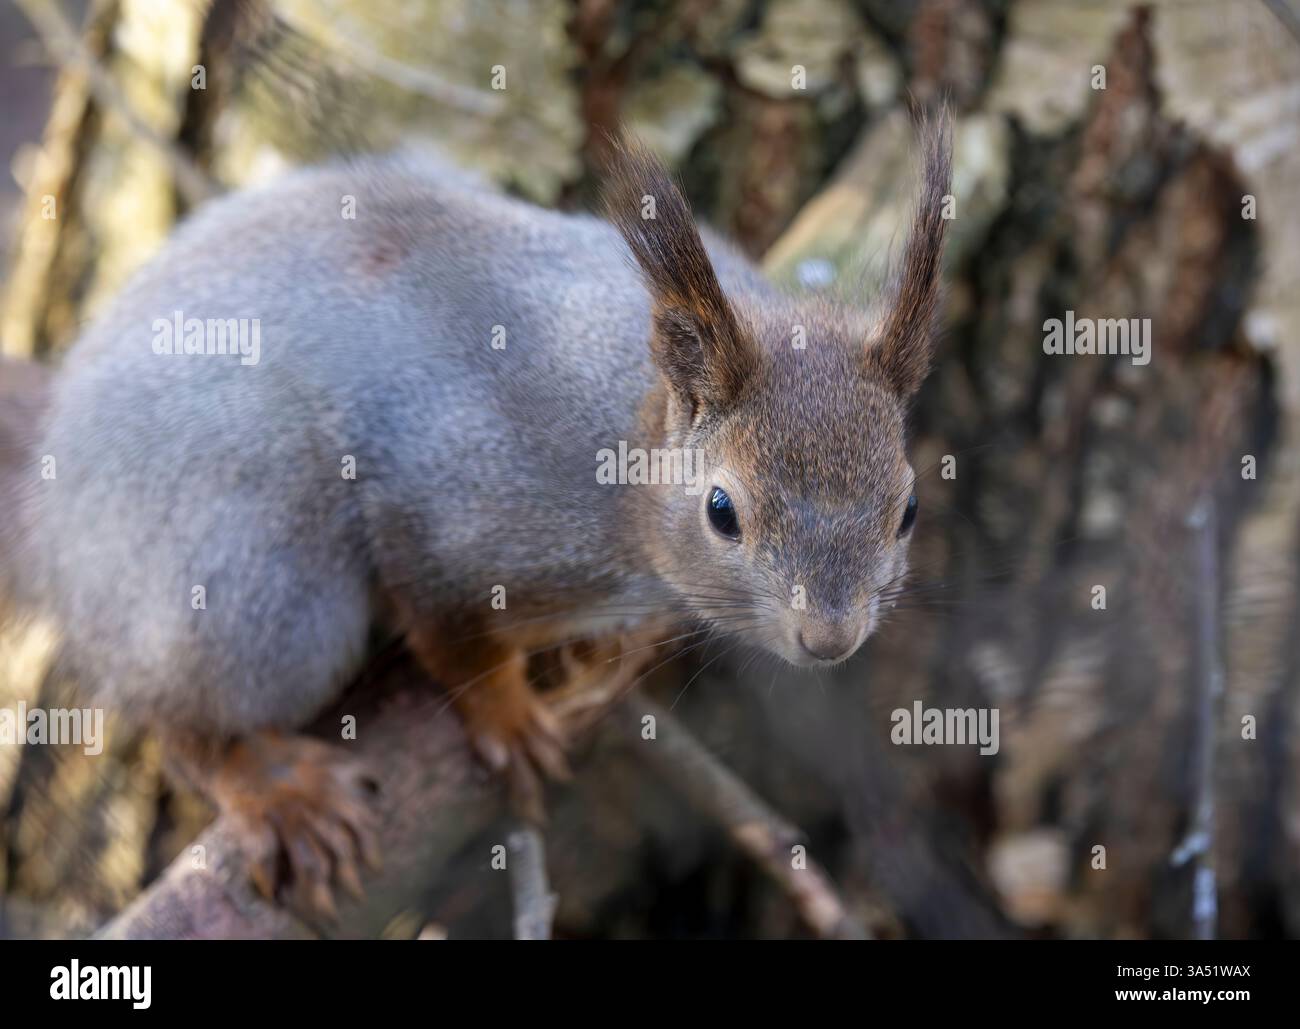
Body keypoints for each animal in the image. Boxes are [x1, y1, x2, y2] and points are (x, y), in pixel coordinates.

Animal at [0, 118, 950, 914]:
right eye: (722, 510)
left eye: (907, 507)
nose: (829, 637)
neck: (625, 433)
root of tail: (56, 514)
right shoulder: (443, 502)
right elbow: (452, 634)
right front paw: (509, 718)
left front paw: (603, 648)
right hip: (250, 580)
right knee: (177, 709)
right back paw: (271, 782)